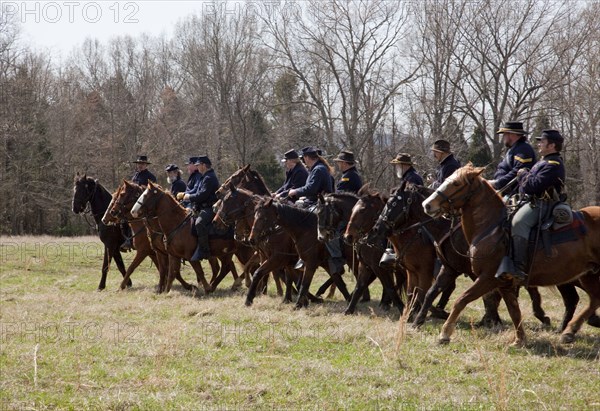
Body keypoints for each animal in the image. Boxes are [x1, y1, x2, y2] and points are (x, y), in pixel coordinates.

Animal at [422, 163, 600, 344]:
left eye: (457, 183)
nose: (427, 205)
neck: (491, 229)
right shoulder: (504, 283)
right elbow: (514, 310)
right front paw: (519, 339)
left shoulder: (487, 278)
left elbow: (462, 300)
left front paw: (444, 334)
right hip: (588, 275)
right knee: (594, 299)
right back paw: (569, 331)